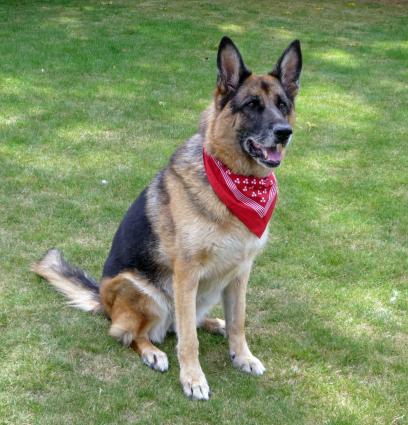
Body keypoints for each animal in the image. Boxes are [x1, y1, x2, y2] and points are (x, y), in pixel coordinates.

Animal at [33, 35, 302, 398]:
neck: (235, 180)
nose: (284, 132)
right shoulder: (186, 274)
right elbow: (188, 339)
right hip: (145, 293)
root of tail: (104, 302)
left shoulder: (241, 272)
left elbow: (239, 321)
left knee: (184, 323)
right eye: (251, 105)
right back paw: (153, 352)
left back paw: (213, 323)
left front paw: (242, 356)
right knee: (131, 333)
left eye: (282, 104)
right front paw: (193, 379)